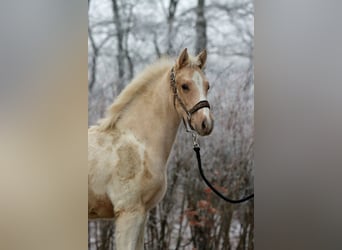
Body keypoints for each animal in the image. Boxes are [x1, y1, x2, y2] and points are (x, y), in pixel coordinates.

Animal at [88, 47, 214, 249]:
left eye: (207, 85)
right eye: (185, 86)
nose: (206, 124)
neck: (139, 143)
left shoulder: (143, 214)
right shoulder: (129, 213)